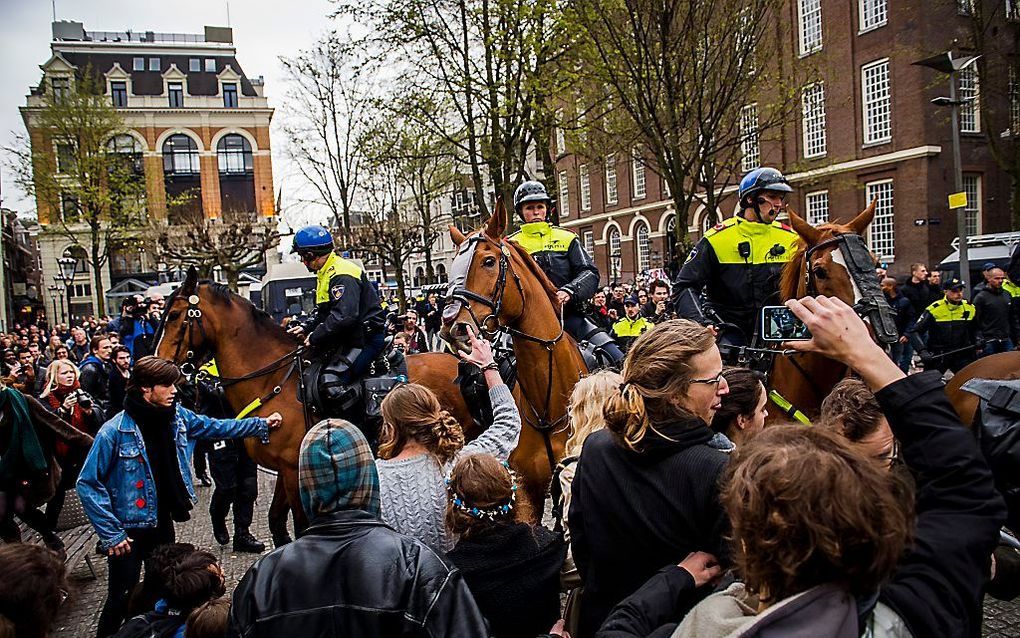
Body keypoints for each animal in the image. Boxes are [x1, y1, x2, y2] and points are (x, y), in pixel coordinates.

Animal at [153, 267, 471, 543]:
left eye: (175, 315)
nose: (161, 366)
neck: (273, 380)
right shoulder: (285, 470)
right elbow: (276, 523)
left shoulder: (293, 469)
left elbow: (302, 526)